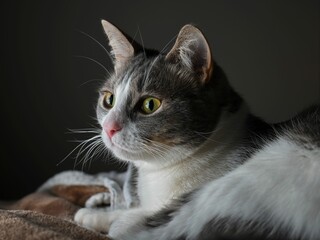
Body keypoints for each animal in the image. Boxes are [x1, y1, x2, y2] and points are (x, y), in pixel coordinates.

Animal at [73, 19, 320, 239]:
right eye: (109, 100)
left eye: (150, 105)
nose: (109, 128)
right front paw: (94, 215)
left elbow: (133, 217)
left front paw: (95, 214)